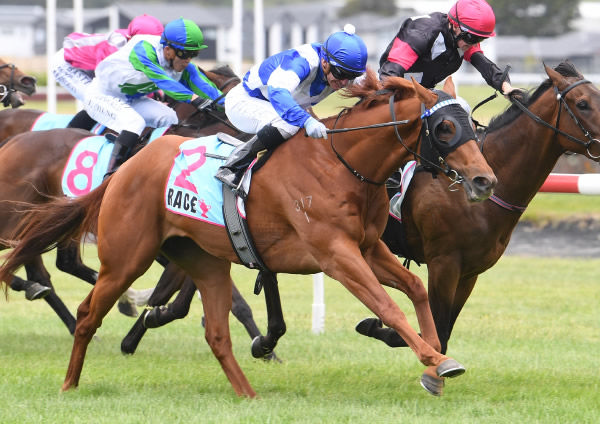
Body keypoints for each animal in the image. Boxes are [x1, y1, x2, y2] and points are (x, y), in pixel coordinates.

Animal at [0, 70, 496, 398]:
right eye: (444, 127)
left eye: (474, 124)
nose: (484, 180)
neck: (340, 163)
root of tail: (125, 168)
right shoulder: (336, 255)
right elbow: (387, 305)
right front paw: (436, 360)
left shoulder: (369, 246)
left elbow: (415, 287)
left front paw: (434, 360)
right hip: (127, 256)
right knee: (88, 311)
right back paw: (70, 382)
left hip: (205, 262)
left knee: (216, 332)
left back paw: (247, 394)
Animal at [356, 62, 600, 354]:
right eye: (583, 103)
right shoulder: (443, 265)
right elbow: (437, 333)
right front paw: (377, 326)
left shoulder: (469, 272)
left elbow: (440, 332)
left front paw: (378, 326)